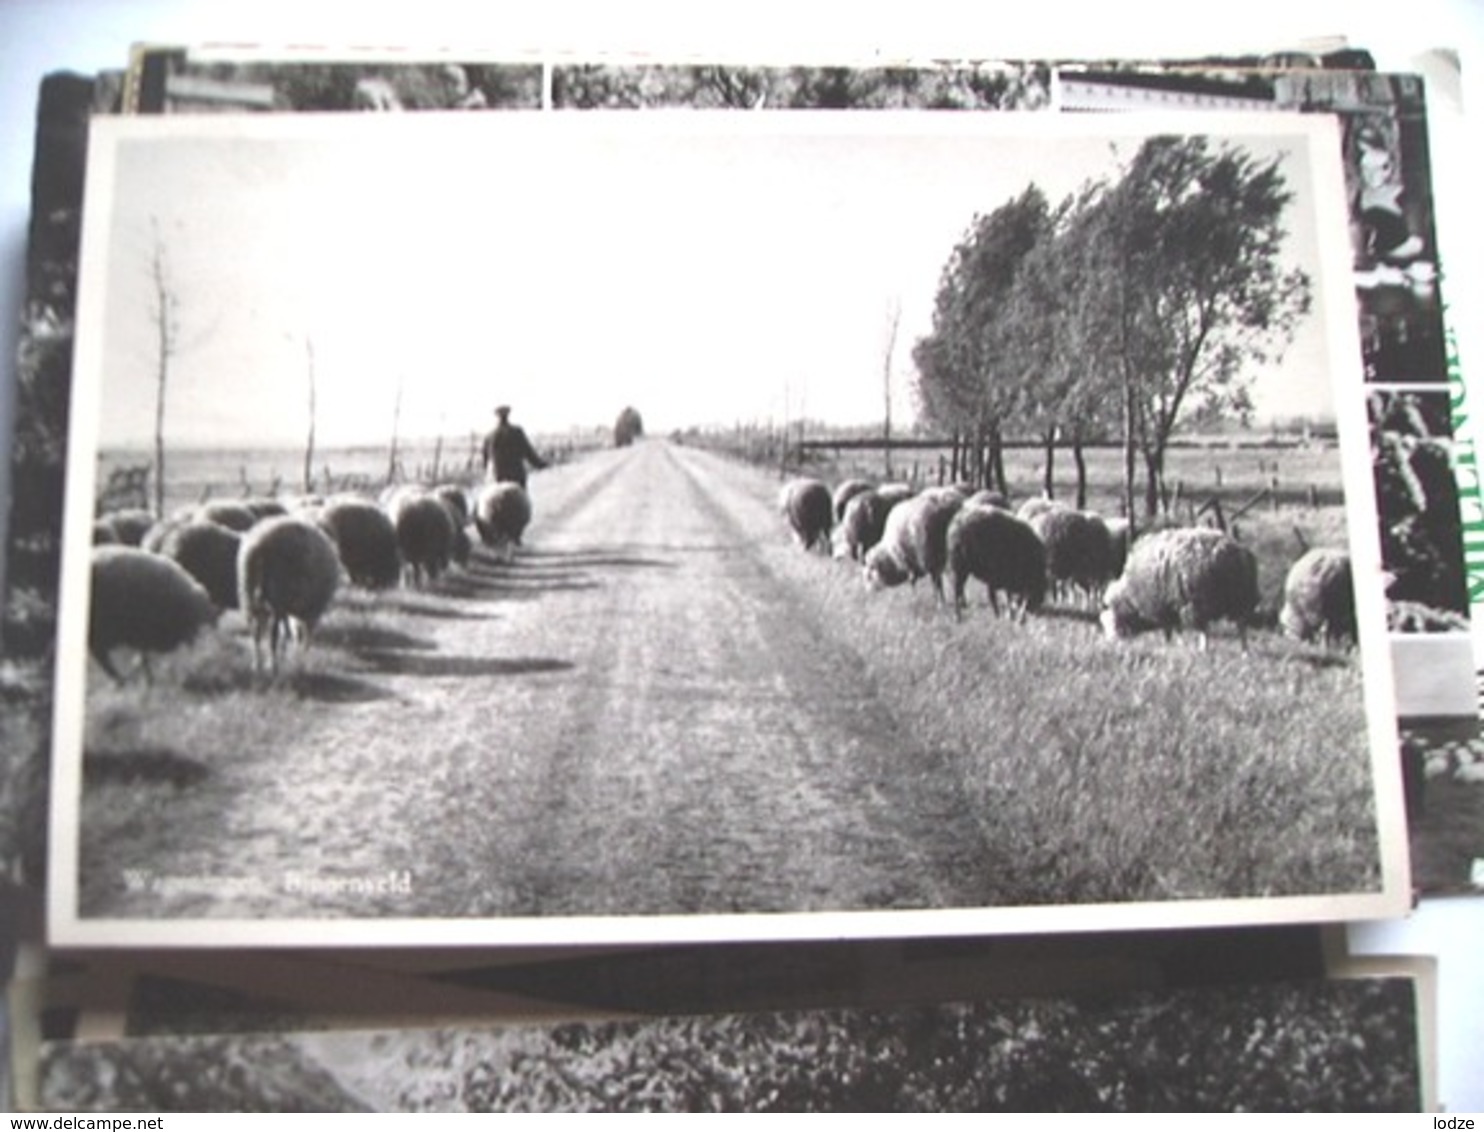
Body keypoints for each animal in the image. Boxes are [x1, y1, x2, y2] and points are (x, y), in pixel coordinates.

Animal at [237, 519, 341, 673]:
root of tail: (259, 547)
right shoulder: (312, 610)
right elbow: (304, 637)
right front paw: (301, 663)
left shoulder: (293, 609)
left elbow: (290, 632)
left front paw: (288, 657)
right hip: (277, 596)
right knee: (272, 634)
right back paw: (273, 665)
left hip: (248, 594)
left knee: (256, 632)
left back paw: (257, 664)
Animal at [1098, 528, 1258, 649]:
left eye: (1113, 621)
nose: (1112, 642)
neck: (1130, 596)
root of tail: (1234, 552)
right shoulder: (1170, 605)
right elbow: (1177, 629)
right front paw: (1179, 645)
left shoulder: (1161, 606)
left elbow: (1169, 630)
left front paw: (1169, 646)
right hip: (1240, 597)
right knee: (1241, 625)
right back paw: (1245, 652)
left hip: (1198, 600)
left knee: (1204, 629)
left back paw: (1204, 650)